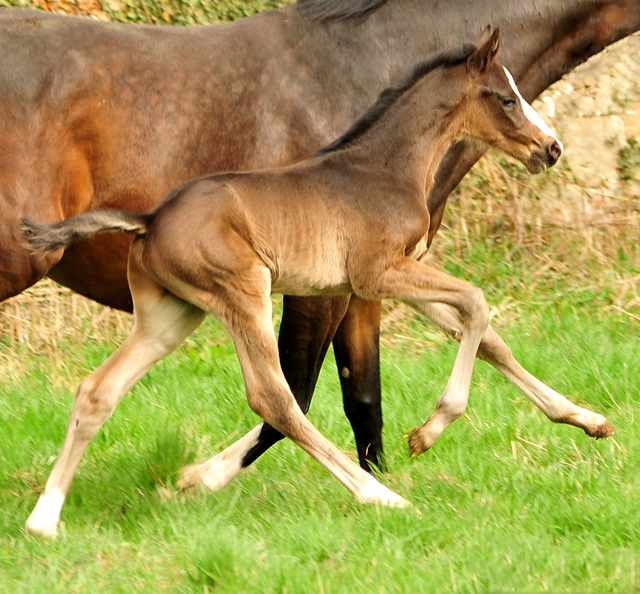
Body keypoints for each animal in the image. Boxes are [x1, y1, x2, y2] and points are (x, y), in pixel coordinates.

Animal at [20, 28, 572, 536]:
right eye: (506, 98)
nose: (551, 149)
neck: (386, 168)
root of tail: (150, 217)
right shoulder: (376, 274)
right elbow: (477, 303)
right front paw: (428, 432)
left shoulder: (397, 275)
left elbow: (486, 337)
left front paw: (580, 417)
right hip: (243, 294)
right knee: (275, 399)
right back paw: (380, 496)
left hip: (170, 316)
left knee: (98, 390)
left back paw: (44, 519)